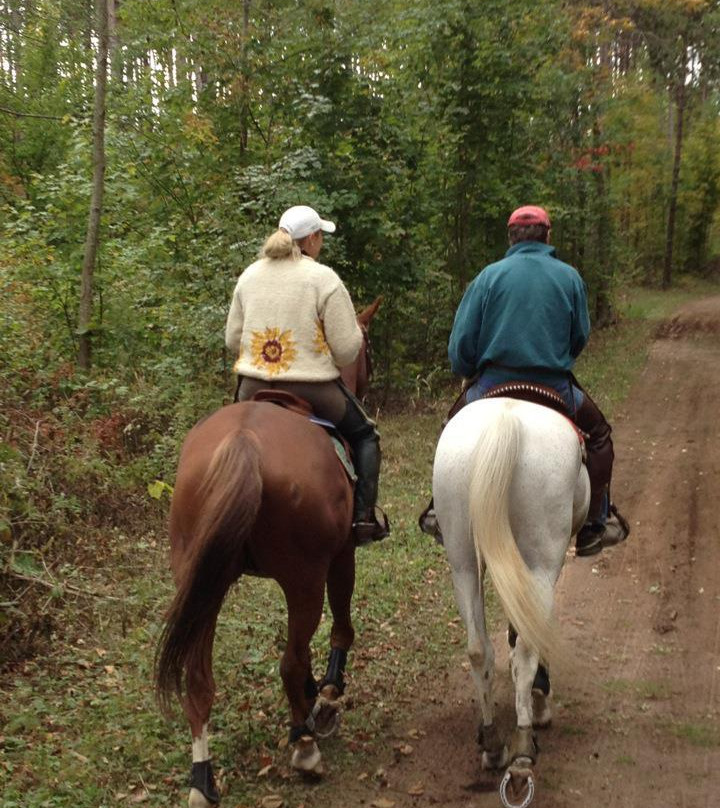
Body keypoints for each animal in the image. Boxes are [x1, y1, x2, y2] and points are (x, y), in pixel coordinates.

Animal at [158, 298, 382, 808]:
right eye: (366, 348)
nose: (367, 377)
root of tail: (244, 443)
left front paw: (314, 696)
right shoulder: (341, 556)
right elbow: (340, 627)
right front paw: (327, 697)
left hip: (202, 580)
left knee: (198, 678)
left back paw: (202, 779)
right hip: (303, 578)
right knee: (289, 660)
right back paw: (304, 746)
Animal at [434, 398, 592, 808]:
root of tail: (504, 420)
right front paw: (540, 700)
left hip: (461, 557)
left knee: (477, 648)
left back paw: (492, 744)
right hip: (543, 557)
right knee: (528, 646)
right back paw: (522, 751)